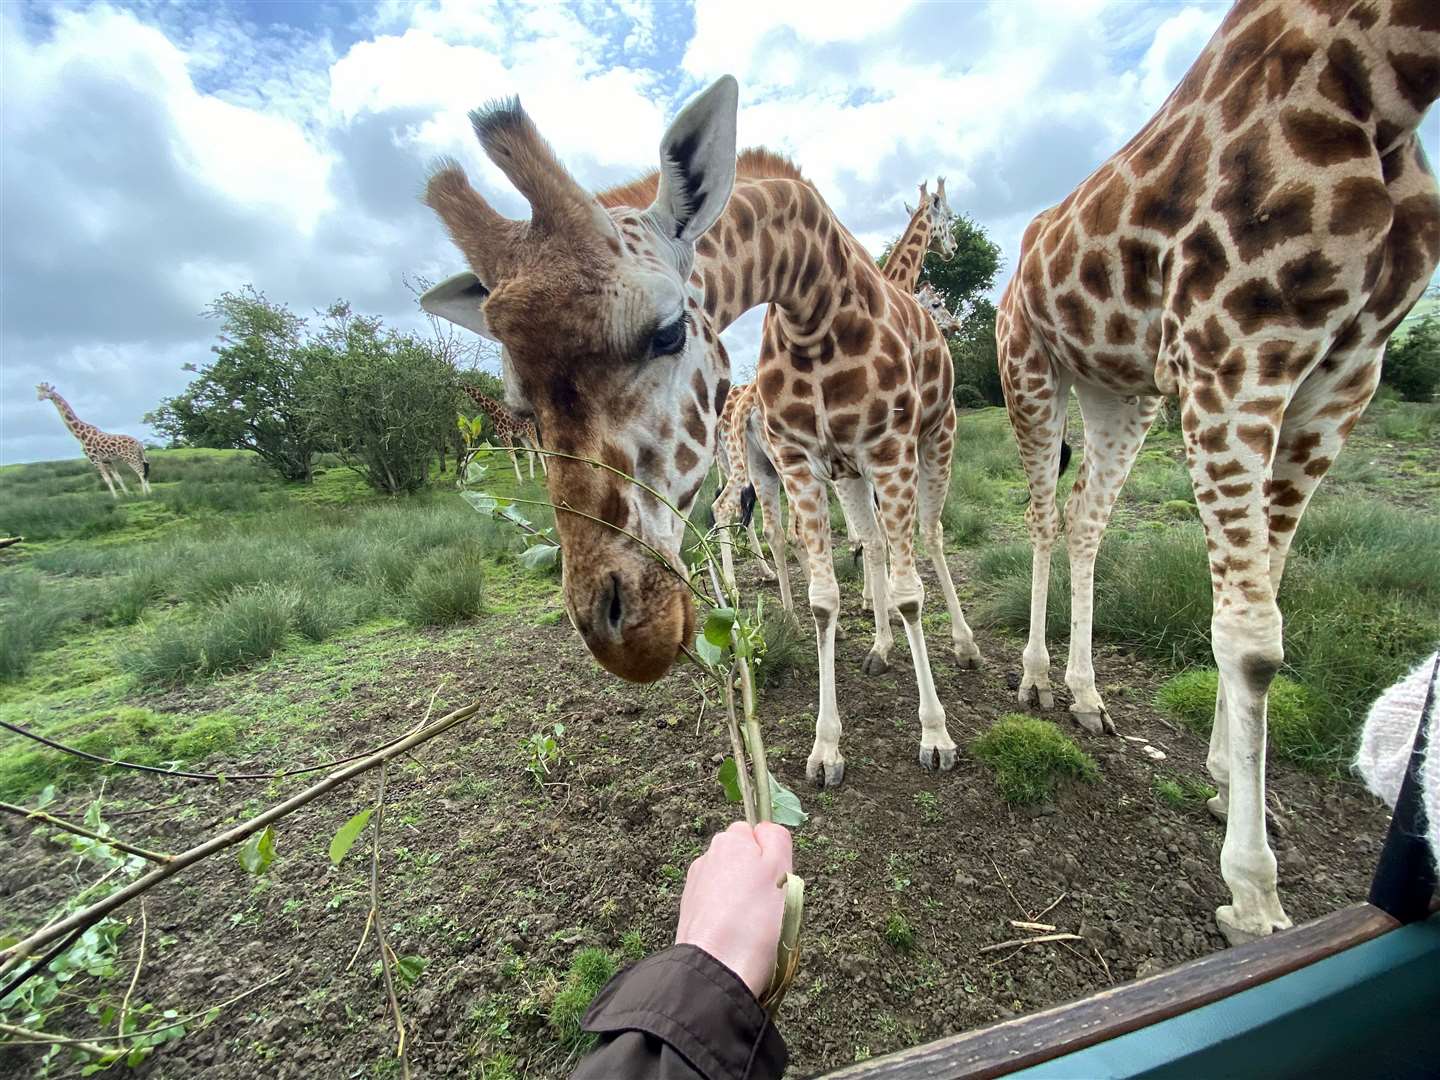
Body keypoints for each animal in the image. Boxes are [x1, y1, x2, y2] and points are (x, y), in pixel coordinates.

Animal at [420, 78, 979, 789]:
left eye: (666, 331)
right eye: (521, 400)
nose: (623, 637)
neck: (816, 300)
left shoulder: (886, 447)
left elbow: (909, 594)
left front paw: (935, 735)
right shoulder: (805, 459)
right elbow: (827, 595)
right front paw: (826, 746)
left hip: (935, 437)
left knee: (929, 536)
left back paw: (966, 645)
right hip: (835, 468)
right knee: (860, 540)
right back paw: (876, 644)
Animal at [996, 0, 1440, 944]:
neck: (1389, 80)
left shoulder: (1347, 376)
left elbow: (1267, 592)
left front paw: (1228, 774)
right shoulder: (1236, 345)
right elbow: (1255, 639)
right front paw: (1255, 892)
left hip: (1122, 390)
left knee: (1087, 517)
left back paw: (1086, 694)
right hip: (1034, 372)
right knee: (1044, 515)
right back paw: (1036, 678)